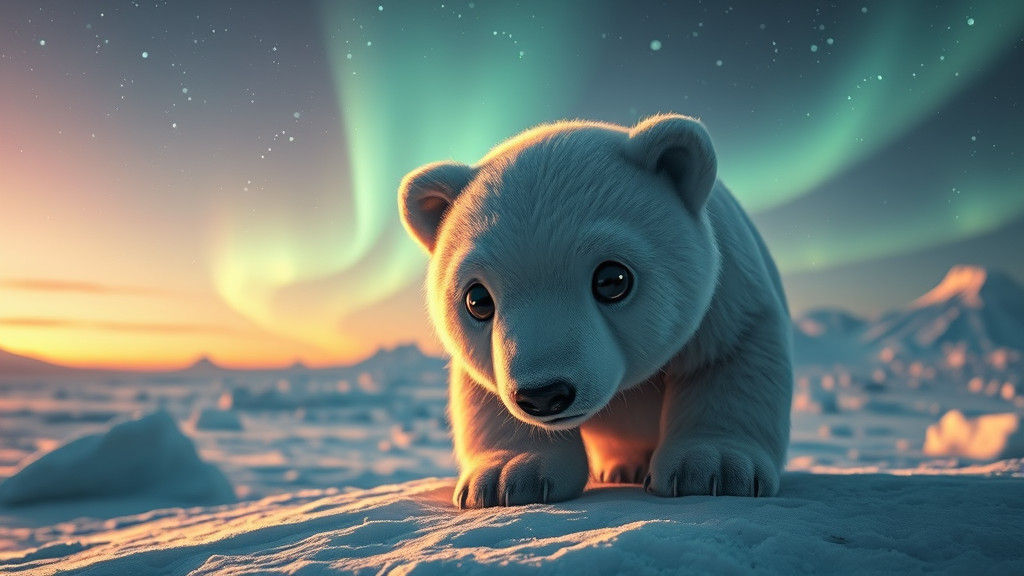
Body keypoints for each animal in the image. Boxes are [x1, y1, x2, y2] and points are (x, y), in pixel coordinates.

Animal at [398, 114, 792, 508]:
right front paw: (507, 477)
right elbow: (486, 396)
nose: (544, 395)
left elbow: (727, 360)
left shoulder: (730, 297)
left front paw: (713, 469)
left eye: (613, 279)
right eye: (477, 299)